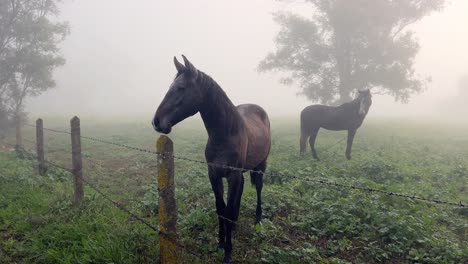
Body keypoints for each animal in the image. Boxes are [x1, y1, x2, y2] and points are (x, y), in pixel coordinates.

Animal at [152, 54, 272, 262]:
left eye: (181, 88)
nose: (157, 121)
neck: (225, 136)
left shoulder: (232, 176)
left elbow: (228, 211)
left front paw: (228, 253)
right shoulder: (214, 175)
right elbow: (221, 209)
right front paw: (221, 243)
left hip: (260, 165)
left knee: (258, 188)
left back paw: (258, 220)